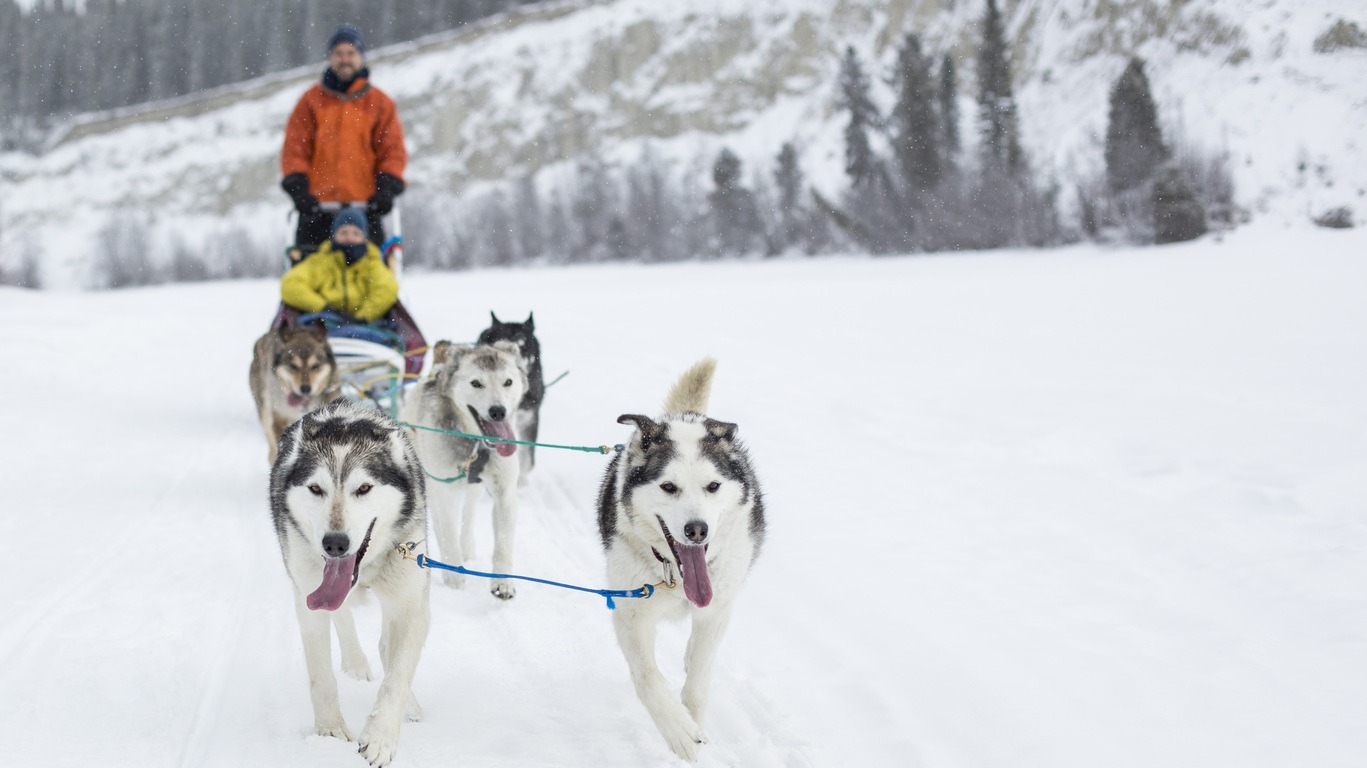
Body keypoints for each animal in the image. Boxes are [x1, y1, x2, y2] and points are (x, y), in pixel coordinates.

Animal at [269, 404, 429, 759]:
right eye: (316, 489)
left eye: (364, 488)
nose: (335, 544)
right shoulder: (308, 596)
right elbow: (321, 673)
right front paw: (328, 731)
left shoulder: (410, 603)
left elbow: (397, 675)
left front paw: (381, 737)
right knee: (342, 617)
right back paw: (355, 662)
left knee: (386, 648)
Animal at [399, 338, 527, 598]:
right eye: (476, 383)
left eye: (508, 382)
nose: (498, 411)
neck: (477, 444)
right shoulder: (445, 491)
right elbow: (447, 535)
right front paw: (454, 578)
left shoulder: (505, 492)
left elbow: (503, 542)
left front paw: (503, 582)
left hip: (471, 489)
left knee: (468, 512)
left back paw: (467, 547)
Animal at [598, 355, 770, 754]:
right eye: (668, 486)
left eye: (713, 486)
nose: (697, 530)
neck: (676, 578)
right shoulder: (629, 611)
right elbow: (647, 675)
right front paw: (678, 729)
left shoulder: (717, 610)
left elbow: (700, 676)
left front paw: (693, 717)